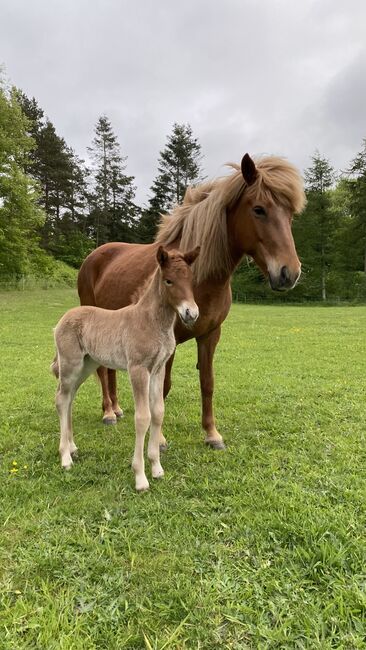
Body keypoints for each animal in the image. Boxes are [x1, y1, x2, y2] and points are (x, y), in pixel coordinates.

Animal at [50, 246, 200, 488]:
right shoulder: (138, 369)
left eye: (191, 280)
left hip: (86, 366)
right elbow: (142, 417)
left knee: (69, 398)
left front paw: (157, 468)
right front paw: (140, 477)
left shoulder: (157, 370)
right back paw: (65, 457)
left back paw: (72, 448)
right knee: (61, 399)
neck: (151, 321)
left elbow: (158, 413)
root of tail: (63, 319)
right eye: (168, 281)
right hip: (70, 364)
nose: (191, 314)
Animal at [78, 154, 304, 448]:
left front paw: (212, 434)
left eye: (290, 214)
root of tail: (95, 255)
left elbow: (207, 382)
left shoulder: (210, 335)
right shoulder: (168, 340)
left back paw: (115, 409)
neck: (199, 279)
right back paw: (107, 412)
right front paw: (159, 439)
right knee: (103, 371)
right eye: (259, 209)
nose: (290, 273)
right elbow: (162, 387)